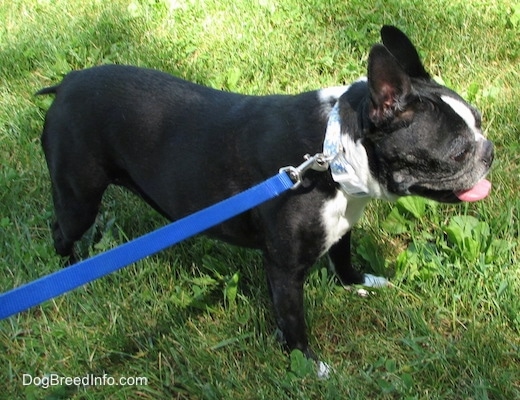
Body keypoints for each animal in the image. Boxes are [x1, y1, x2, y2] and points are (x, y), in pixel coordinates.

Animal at [36, 25, 492, 368]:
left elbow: (343, 258)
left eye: (480, 122)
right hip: (79, 195)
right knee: (62, 227)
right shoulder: (283, 269)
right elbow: (293, 320)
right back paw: (70, 269)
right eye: (456, 152)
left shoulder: (342, 224)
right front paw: (308, 365)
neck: (332, 153)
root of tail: (67, 83)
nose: (489, 152)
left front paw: (358, 283)